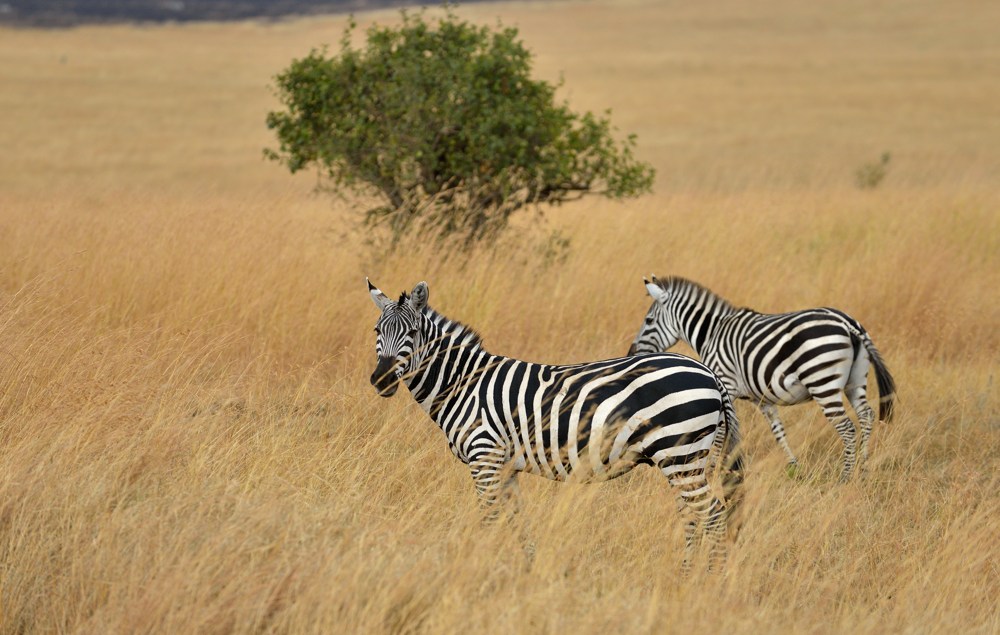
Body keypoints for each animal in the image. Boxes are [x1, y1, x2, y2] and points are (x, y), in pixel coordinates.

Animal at [368, 278, 744, 572]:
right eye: (376, 331)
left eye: (412, 332)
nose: (381, 380)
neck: (463, 384)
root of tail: (708, 373)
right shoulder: (505, 466)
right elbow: (517, 521)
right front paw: (526, 569)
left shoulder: (484, 457)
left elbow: (489, 520)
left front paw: (481, 566)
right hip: (688, 457)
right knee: (694, 513)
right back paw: (687, 573)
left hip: (680, 452)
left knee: (711, 513)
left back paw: (707, 580)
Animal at [624, 274, 900, 482]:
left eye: (649, 320)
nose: (631, 354)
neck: (711, 333)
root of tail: (847, 322)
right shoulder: (763, 399)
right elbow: (778, 431)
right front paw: (793, 466)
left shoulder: (725, 385)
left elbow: (721, 433)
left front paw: (713, 469)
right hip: (855, 380)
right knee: (866, 416)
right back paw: (863, 470)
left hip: (822, 381)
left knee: (847, 427)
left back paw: (845, 478)